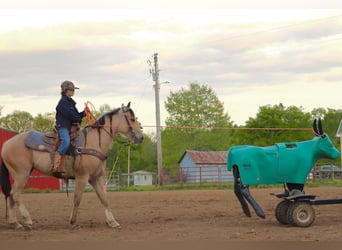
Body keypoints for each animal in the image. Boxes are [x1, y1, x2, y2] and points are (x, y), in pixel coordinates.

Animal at [0, 100, 144, 229]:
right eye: (132, 119)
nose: (141, 137)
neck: (93, 142)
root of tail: (6, 144)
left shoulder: (95, 178)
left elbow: (104, 199)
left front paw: (113, 222)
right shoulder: (82, 177)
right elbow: (77, 198)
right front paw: (73, 222)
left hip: (19, 174)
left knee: (11, 196)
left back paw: (15, 223)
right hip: (22, 174)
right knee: (15, 194)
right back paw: (27, 220)